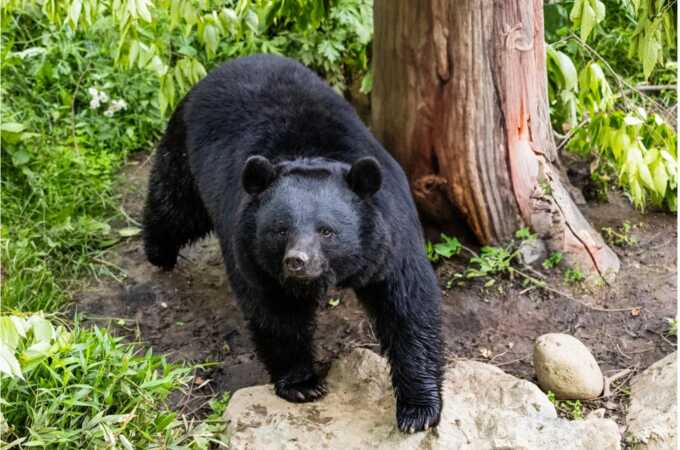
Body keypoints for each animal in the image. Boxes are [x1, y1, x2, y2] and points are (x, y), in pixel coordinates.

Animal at [142, 54, 443, 433]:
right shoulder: (252, 250)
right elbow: (276, 312)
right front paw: (303, 385)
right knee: (174, 205)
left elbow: (407, 305)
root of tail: (232, 63)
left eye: (327, 231)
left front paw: (418, 410)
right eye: (280, 230)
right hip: (185, 149)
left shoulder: (391, 236)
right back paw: (158, 253)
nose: (297, 262)